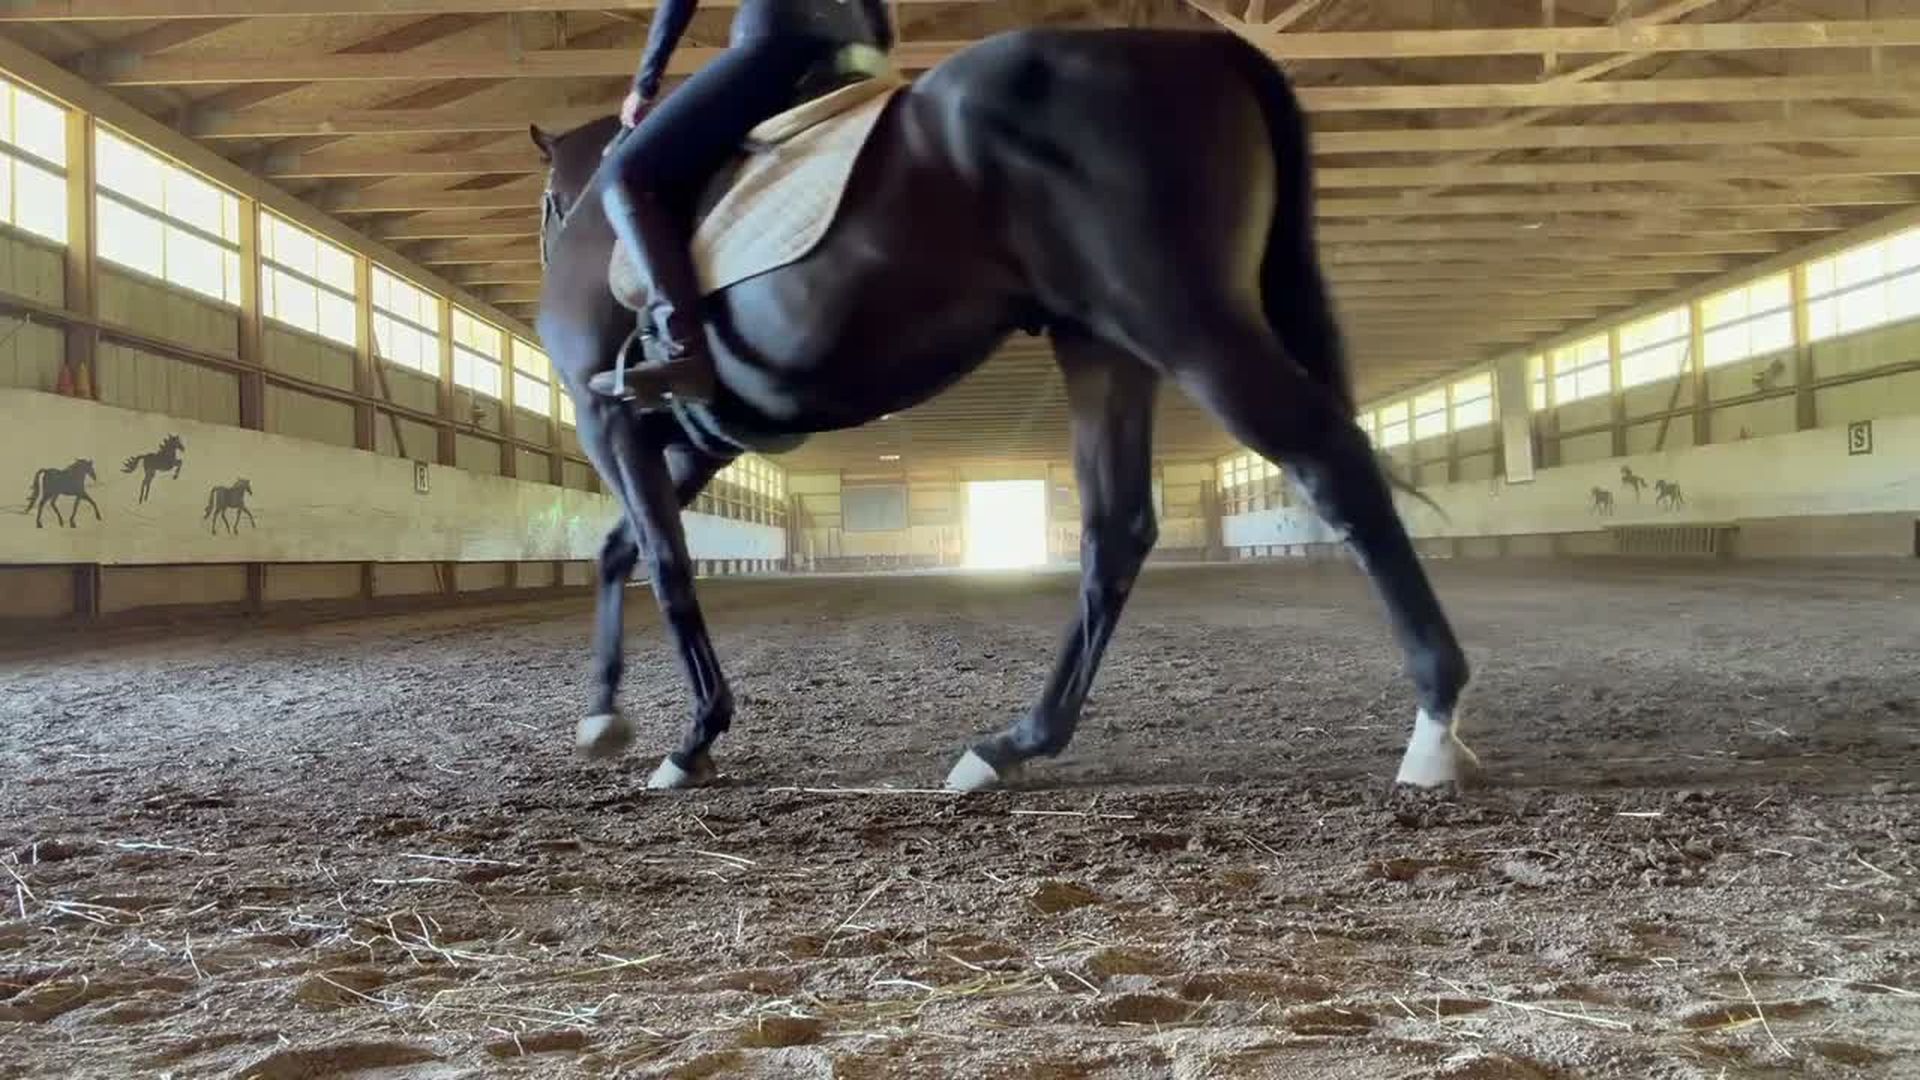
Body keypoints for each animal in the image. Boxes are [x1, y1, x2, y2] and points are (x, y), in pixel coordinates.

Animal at [531, 26, 1476, 795]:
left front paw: (691, 740)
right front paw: (601, 717)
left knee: (1327, 461)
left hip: (1186, 324)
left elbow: (665, 562)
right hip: (1103, 345)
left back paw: (1434, 726)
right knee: (1116, 531)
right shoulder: (695, 440)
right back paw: (1013, 745)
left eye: (546, 206)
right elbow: (621, 550)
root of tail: (1207, 49)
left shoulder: (606, 416)